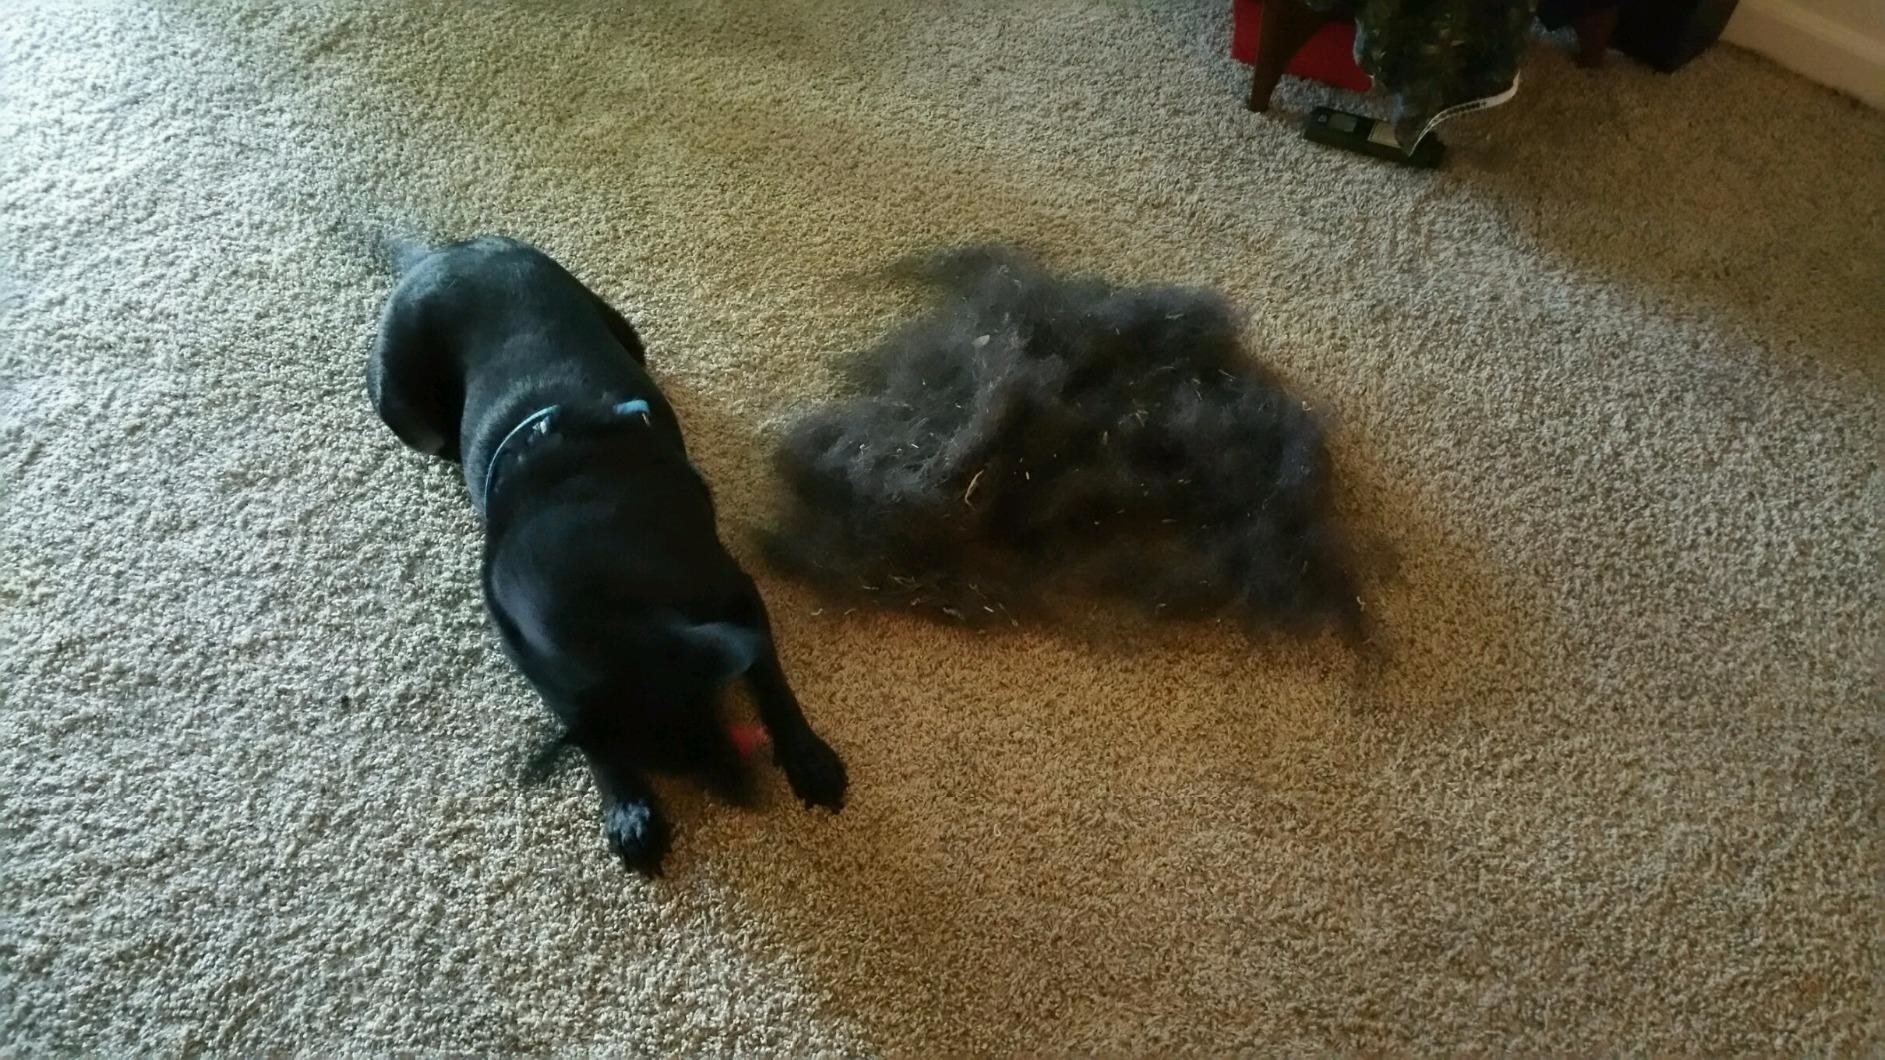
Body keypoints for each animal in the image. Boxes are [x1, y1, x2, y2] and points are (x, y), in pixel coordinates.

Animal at [361, 234, 848, 871]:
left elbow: (772, 681)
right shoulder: (538, 661)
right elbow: (585, 730)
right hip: (403, 408)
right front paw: (627, 807)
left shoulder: (737, 595)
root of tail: (436, 255)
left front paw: (807, 757)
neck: (602, 599)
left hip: (618, 328)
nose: (747, 798)